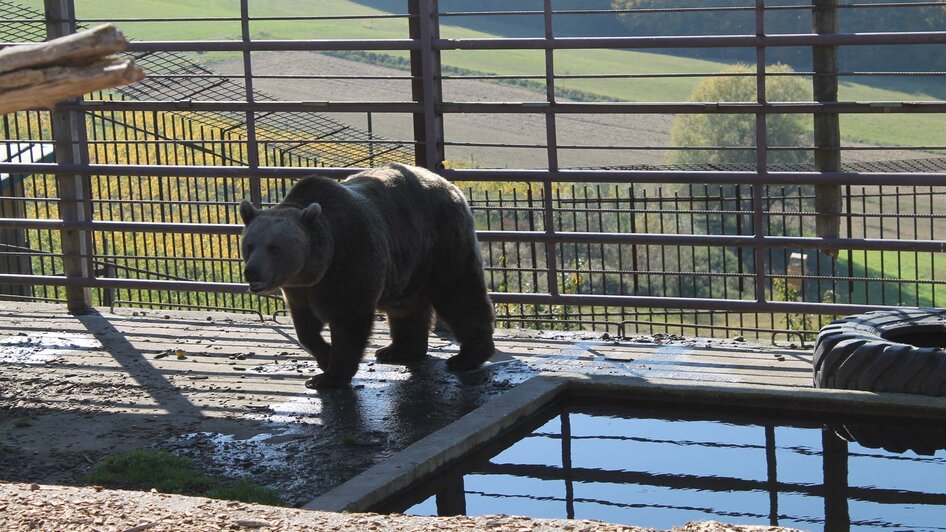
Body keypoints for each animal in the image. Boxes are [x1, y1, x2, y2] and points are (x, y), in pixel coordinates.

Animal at [238, 161, 494, 386]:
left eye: (274, 247)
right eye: (249, 245)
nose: (252, 272)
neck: (317, 267)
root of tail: (446, 183)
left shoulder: (350, 259)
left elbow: (349, 321)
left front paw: (329, 376)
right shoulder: (300, 290)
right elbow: (306, 327)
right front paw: (324, 357)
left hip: (441, 243)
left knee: (459, 294)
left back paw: (467, 356)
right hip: (407, 263)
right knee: (407, 307)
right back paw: (398, 349)